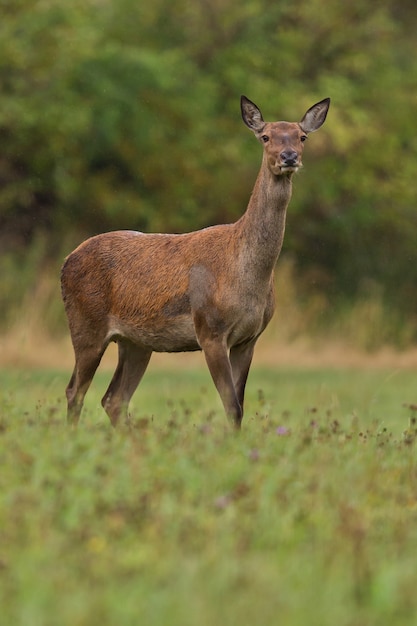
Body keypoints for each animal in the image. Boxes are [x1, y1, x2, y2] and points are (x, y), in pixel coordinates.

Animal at [61, 94, 328, 428]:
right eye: (265, 136)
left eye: (301, 136)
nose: (289, 156)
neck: (245, 273)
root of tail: (66, 261)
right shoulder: (210, 329)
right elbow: (232, 405)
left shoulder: (250, 338)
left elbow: (239, 405)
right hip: (86, 322)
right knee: (75, 391)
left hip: (135, 342)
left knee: (114, 399)